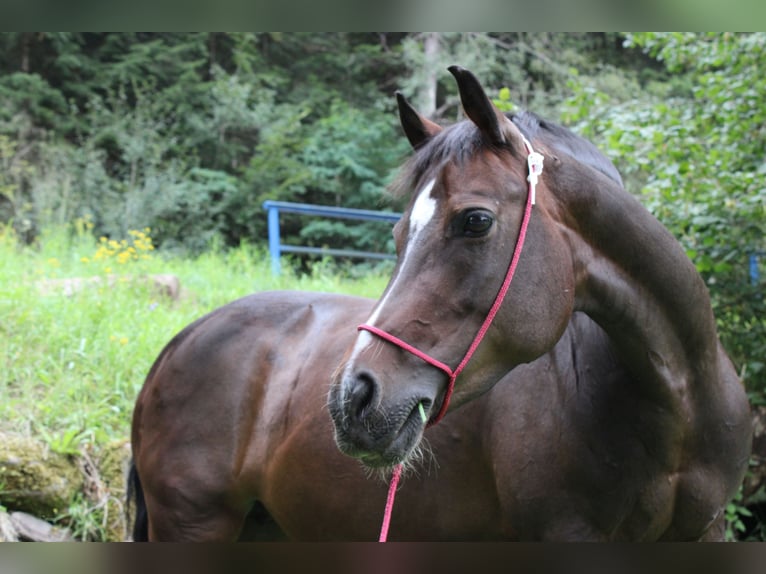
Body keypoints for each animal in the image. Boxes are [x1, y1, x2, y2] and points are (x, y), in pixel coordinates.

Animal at [129, 65, 752, 544]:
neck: (676, 405)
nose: (352, 400)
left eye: (474, 221)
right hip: (195, 525)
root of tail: (179, 342)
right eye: (398, 232)